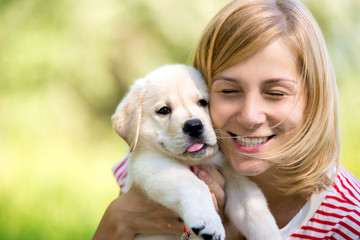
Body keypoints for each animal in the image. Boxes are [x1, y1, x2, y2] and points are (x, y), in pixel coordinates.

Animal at [112, 64, 282, 239]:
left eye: (202, 102)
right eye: (164, 110)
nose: (193, 126)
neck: (198, 161)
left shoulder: (235, 178)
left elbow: (256, 210)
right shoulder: (151, 163)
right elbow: (194, 185)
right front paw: (208, 221)